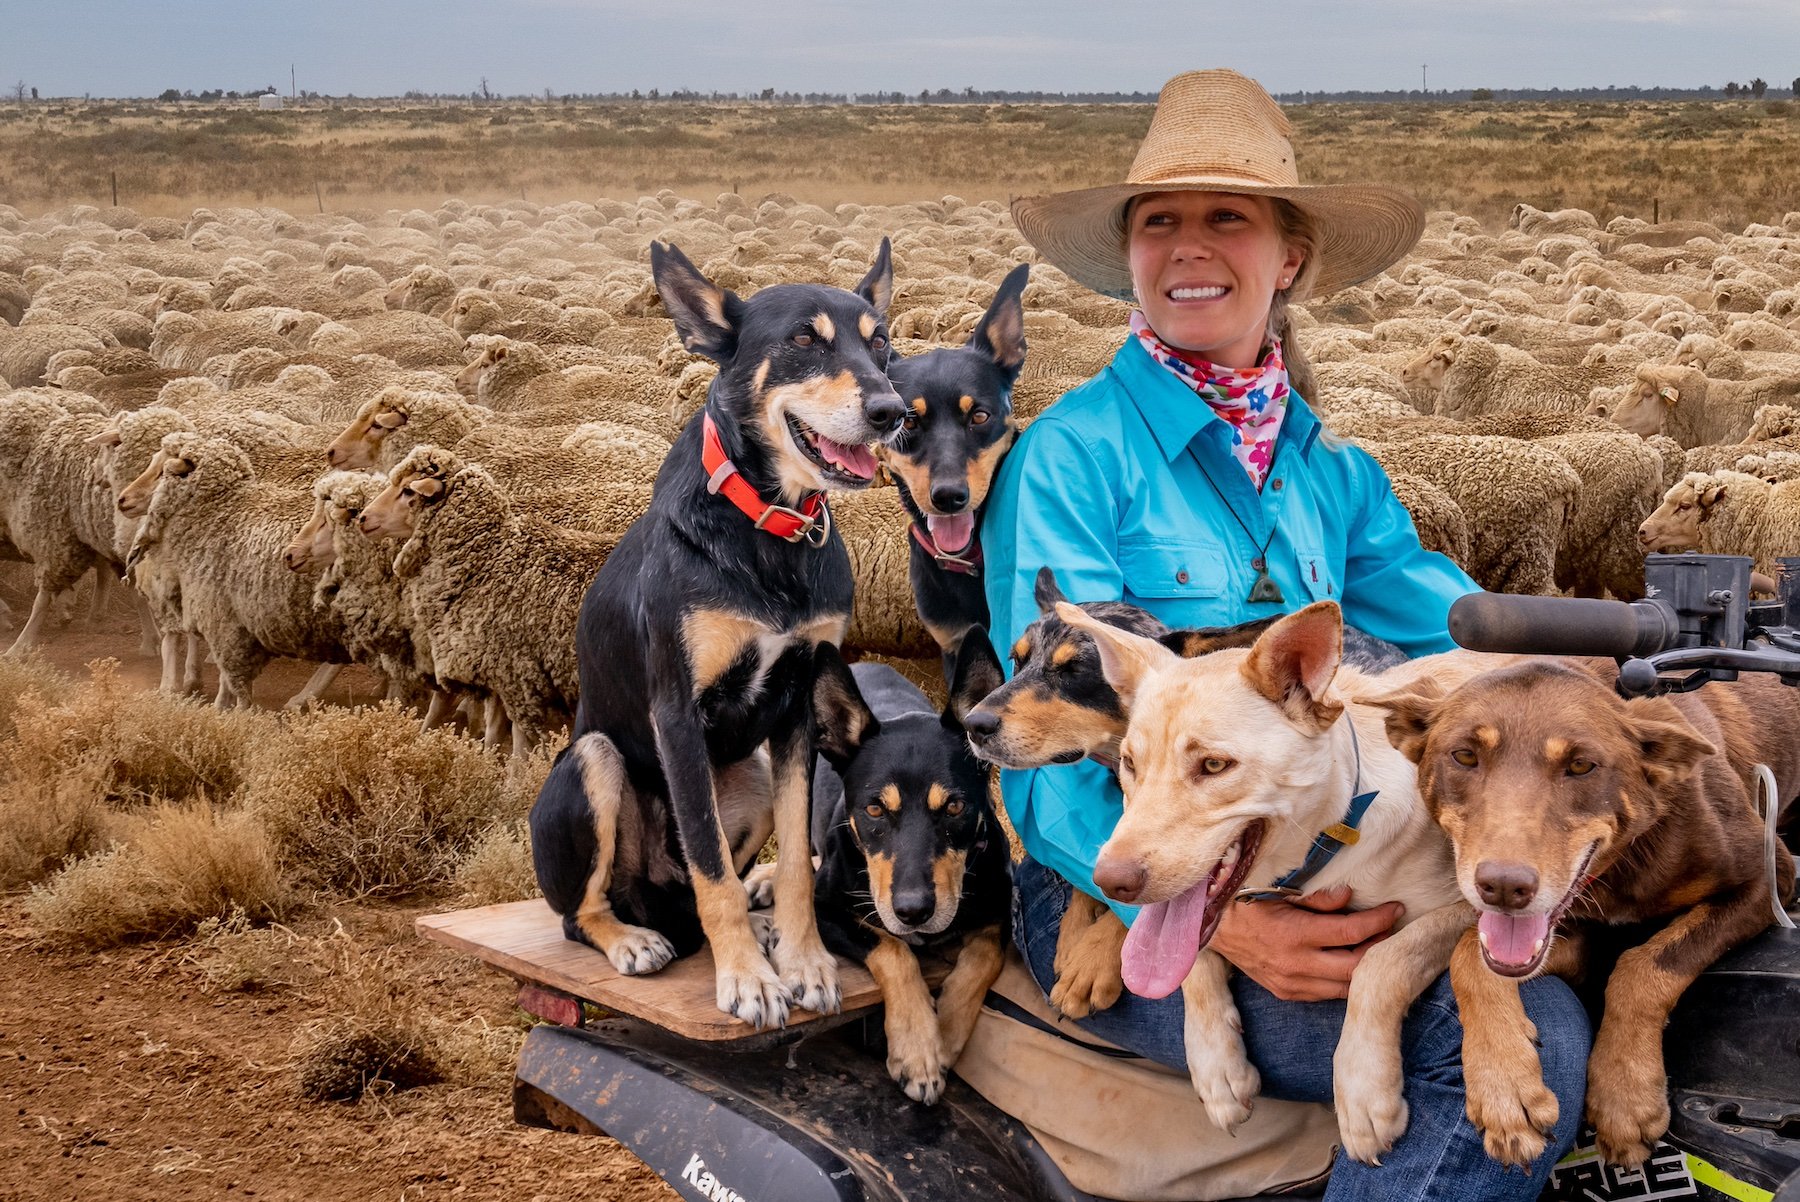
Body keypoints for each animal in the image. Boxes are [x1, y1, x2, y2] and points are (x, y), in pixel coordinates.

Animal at [813, 636, 1015, 1108]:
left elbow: (984, 956)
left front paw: (948, 1032)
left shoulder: (1001, 911)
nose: (913, 911)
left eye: (955, 806)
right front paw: (919, 1049)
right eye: (874, 810)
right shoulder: (824, 908)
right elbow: (893, 950)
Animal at [1058, 601, 1512, 1166]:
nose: (1108, 882)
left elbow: (1384, 960)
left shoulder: (1477, 904)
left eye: (1214, 765)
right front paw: (1216, 1065)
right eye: (1129, 764)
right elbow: (1189, 961)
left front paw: (1363, 1088)